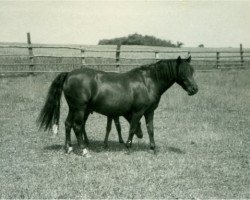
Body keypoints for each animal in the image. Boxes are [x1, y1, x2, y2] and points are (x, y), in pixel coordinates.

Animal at [37, 56, 197, 156]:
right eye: (183, 72)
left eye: (192, 71)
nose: (195, 89)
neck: (148, 81)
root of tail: (69, 74)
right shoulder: (138, 111)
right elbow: (132, 128)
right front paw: (128, 147)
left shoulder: (149, 112)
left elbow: (150, 129)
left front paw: (153, 149)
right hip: (80, 109)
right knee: (77, 126)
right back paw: (84, 151)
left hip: (73, 108)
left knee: (67, 124)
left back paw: (69, 148)